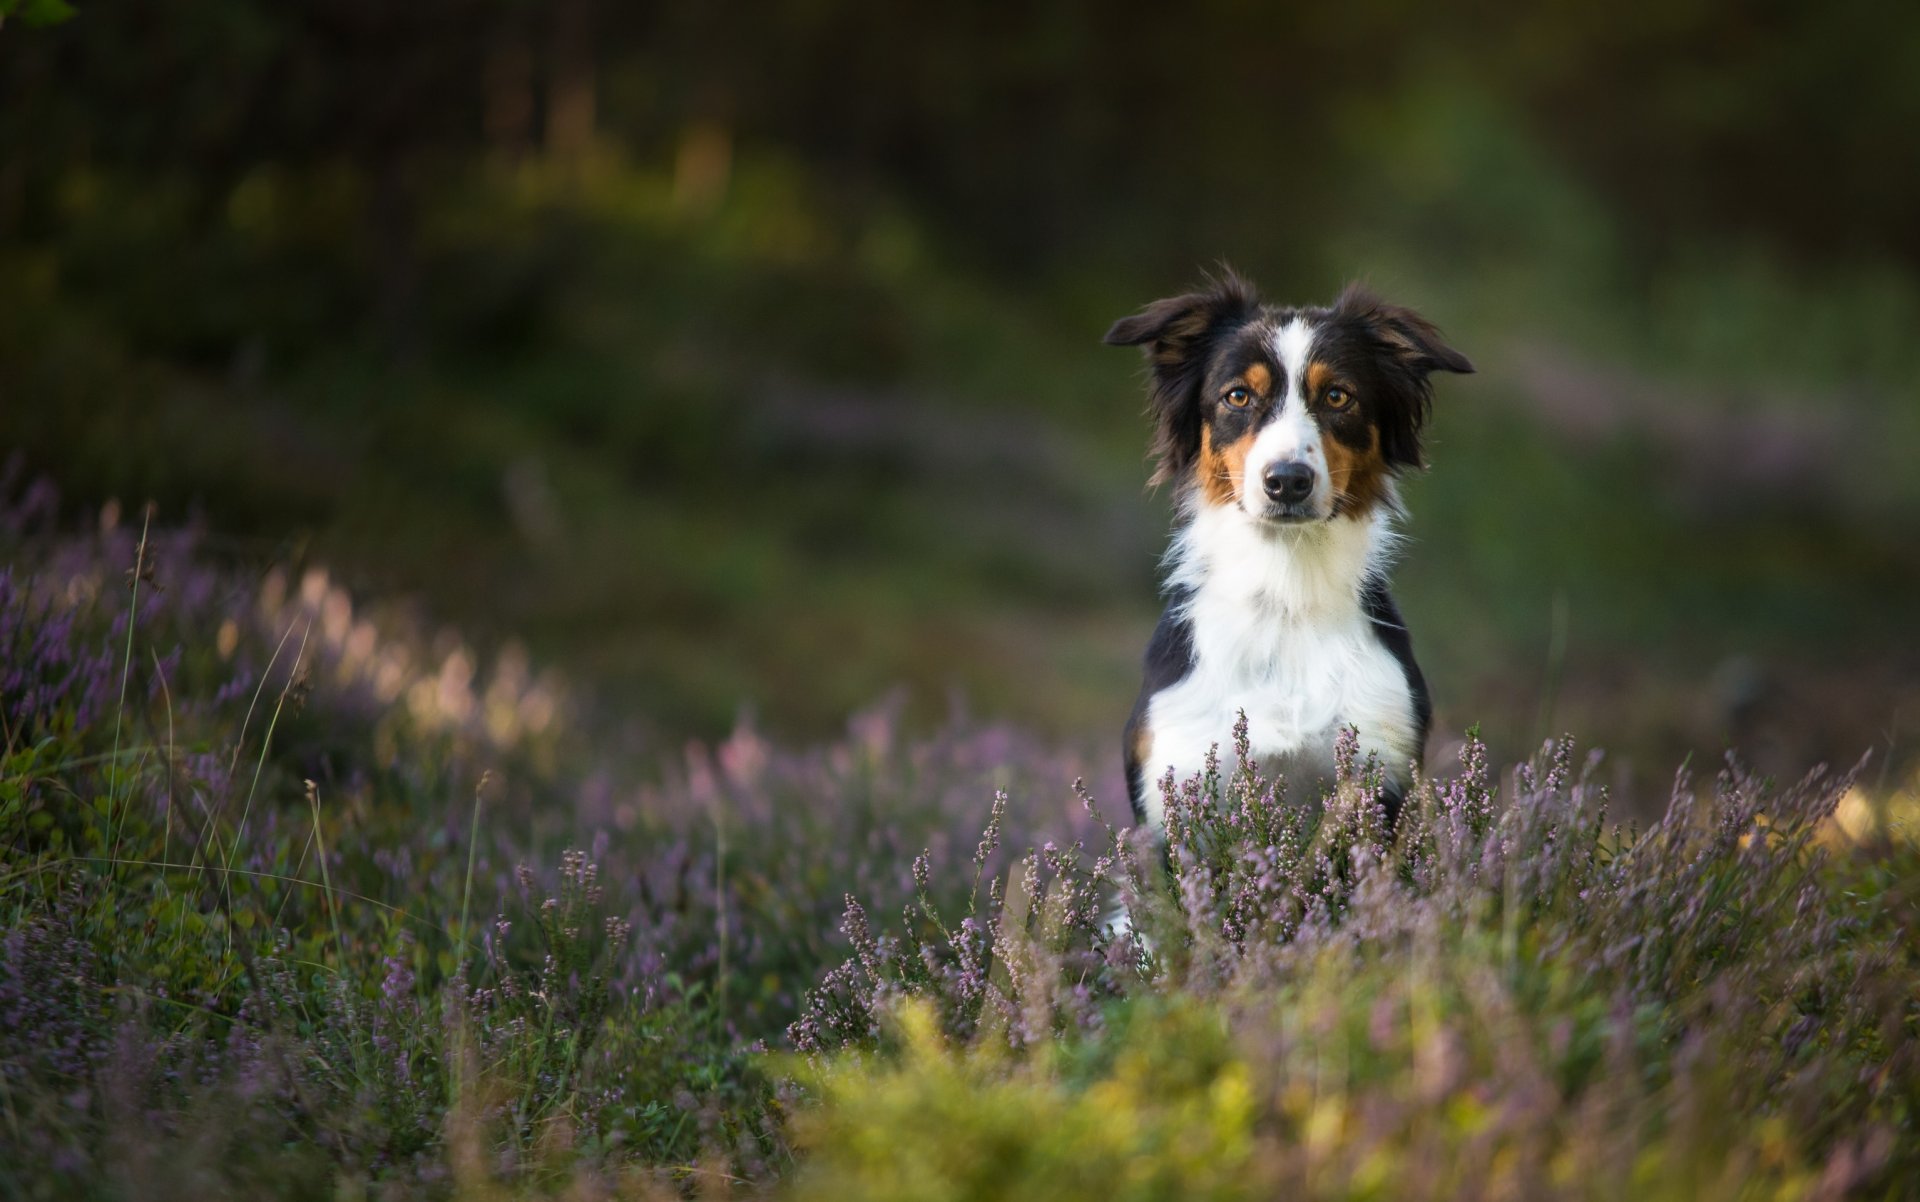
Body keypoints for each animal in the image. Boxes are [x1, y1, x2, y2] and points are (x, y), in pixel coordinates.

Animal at [1105, 274, 1474, 829]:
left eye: (1338, 396)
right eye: (1238, 395)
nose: (1287, 481)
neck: (1285, 591)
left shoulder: (1380, 771)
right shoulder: (1176, 787)